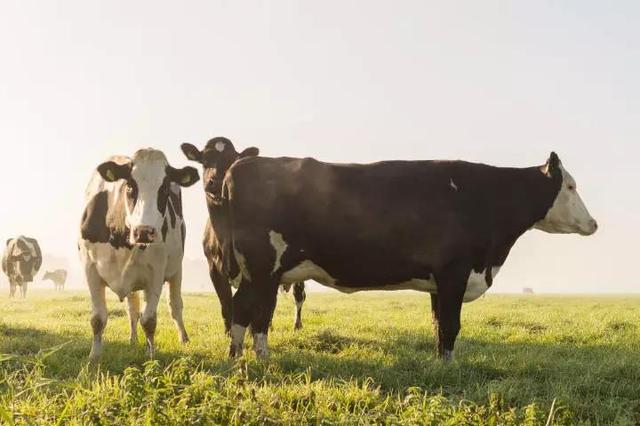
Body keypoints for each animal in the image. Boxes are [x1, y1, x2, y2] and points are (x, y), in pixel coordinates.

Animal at [79, 147, 200, 360]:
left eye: (164, 189)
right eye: (129, 186)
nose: (144, 231)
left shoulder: (155, 273)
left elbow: (149, 320)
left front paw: (151, 356)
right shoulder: (90, 269)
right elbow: (98, 318)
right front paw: (94, 357)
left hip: (176, 270)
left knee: (175, 305)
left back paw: (184, 338)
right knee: (132, 309)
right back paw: (133, 339)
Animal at [181, 136, 308, 332]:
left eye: (231, 160)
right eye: (205, 161)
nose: (216, 181)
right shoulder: (214, 269)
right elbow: (227, 305)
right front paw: (229, 333)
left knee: (298, 295)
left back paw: (296, 324)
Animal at [212, 151, 596, 358]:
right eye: (571, 186)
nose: (593, 223)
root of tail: (240, 165)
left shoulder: (440, 282)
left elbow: (439, 325)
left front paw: (442, 364)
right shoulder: (455, 272)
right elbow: (451, 326)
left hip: (261, 272)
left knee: (246, 310)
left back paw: (241, 357)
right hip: (263, 266)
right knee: (249, 311)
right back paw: (253, 358)